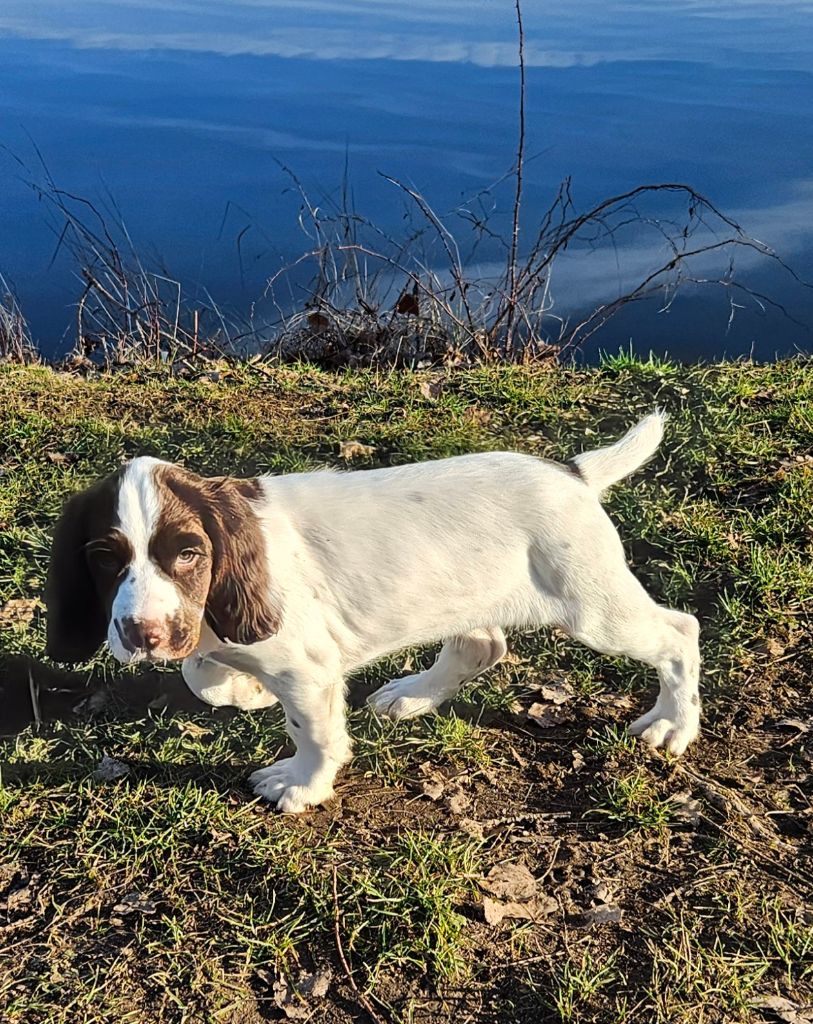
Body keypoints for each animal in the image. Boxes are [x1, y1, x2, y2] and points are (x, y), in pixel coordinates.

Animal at [47, 411, 700, 811]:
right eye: (103, 559)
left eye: (187, 553)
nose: (143, 634)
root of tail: (574, 474)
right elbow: (199, 672)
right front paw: (244, 690)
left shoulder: (307, 669)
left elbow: (312, 731)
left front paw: (301, 784)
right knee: (480, 645)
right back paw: (412, 695)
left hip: (592, 605)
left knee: (679, 632)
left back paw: (673, 724)